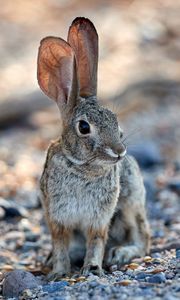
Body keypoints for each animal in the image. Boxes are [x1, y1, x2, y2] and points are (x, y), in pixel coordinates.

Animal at [37, 16, 150, 280]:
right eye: (84, 127)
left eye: (115, 120)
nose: (119, 151)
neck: (82, 168)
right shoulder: (56, 217)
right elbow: (60, 245)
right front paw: (58, 273)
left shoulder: (99, 218)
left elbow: (96, 241)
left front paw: (92, 269)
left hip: (131, 204)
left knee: (143, 239)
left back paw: (120, 253)